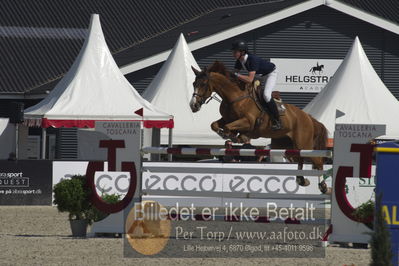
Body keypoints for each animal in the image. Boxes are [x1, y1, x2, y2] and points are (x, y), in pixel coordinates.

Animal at [191, 63, 332, 192]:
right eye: (193, 83)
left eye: (203, 84)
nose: (193, 105)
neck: (234, 97)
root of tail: (308, 117)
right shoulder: (226, 119)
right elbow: (215, 125)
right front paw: (231, 136)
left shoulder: (248, 121)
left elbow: (228, 127)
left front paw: (234, 136)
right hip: (289, 145)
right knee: (300, 159)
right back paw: (301, 180)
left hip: (304, 143)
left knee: (318, 162)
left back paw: (323, 187)